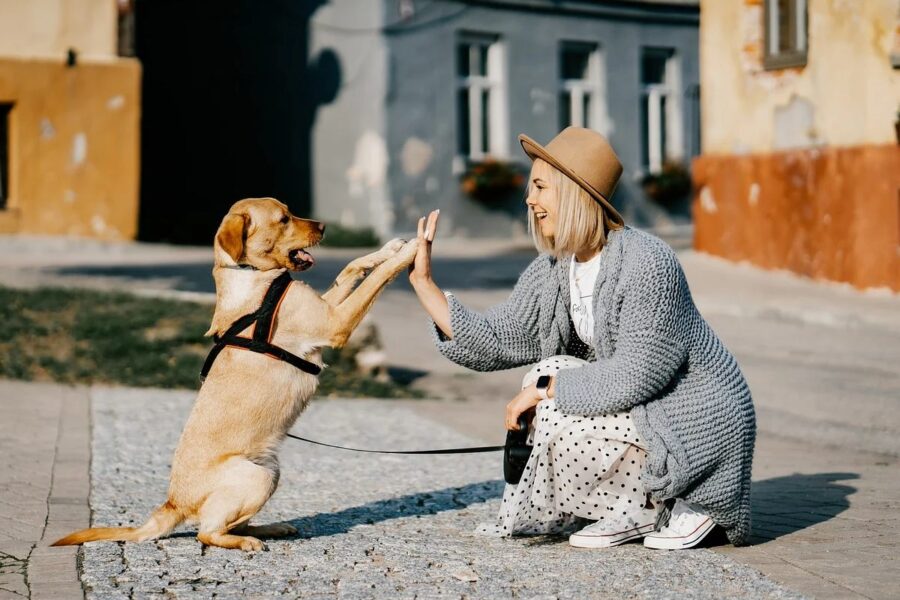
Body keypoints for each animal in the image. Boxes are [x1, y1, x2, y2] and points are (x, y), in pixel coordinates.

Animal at [54, 199, 420, 552]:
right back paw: (246, 541)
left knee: (230, 524)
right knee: (207, 532)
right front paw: (411, 251)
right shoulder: (335, 323)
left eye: (290, 212)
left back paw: (270, 528)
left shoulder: (327, 308)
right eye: (284, 219)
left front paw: (389, 248)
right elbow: (375, 279)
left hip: (270, 471)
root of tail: (173, 503)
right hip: (255, 477)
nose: (324, 226)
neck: (252, 276)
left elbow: (352, 267)